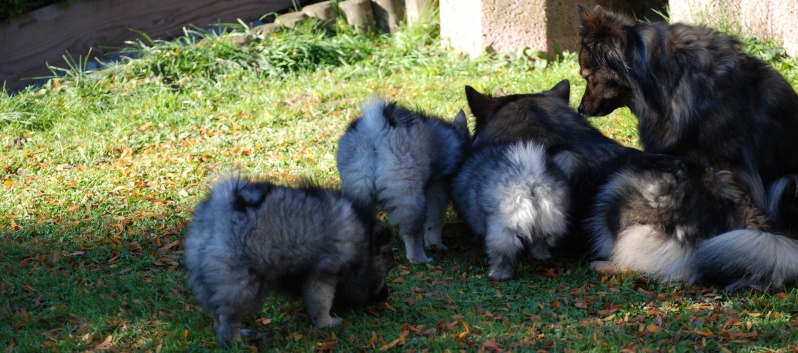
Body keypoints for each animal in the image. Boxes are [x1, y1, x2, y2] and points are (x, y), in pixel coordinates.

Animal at [181, 175, 394, 346]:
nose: (386, 295)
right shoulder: (322, 273)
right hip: (240, 284)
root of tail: (219, 211)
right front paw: (327, 323)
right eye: (385, 272)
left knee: (218, 316)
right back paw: (235, 343)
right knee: (228, 318)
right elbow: (321, 301)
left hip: (209, 282)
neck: (363, 243)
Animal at [338, 97, 476, 262]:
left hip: (358, 190)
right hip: (408, 195)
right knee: (411, 232)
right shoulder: (438, 188)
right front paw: (436, 245)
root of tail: (376, 130)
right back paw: (420, 259)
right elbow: (435, 221)